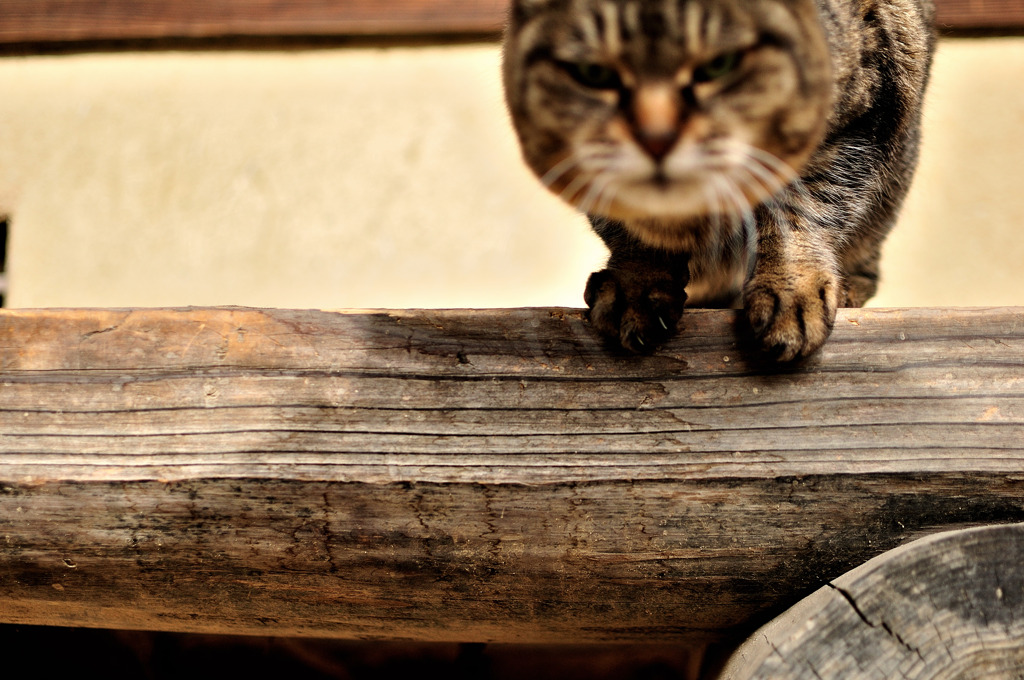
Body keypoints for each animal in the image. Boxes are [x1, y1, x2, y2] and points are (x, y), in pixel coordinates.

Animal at [503, 0, 937, 360]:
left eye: (720, 65)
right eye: (594, 73)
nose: (657, 137)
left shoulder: (857, 113)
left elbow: (802, 209)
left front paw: (791, 287)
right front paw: (637, 282)